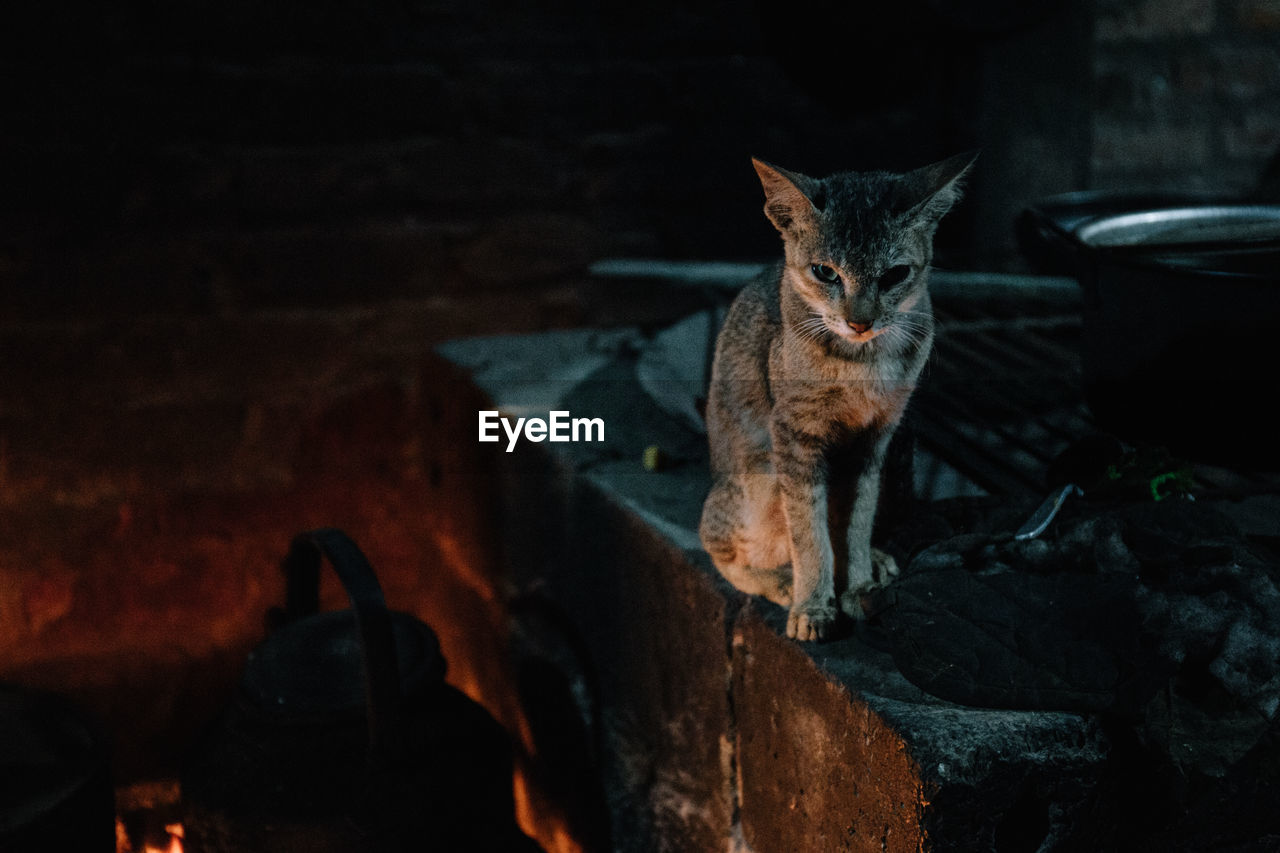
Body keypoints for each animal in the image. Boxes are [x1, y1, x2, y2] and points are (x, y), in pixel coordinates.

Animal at [701, 154, 967, 637]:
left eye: (895, 275)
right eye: (826, 272)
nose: (859, 321)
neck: (863, 364)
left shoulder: (876, 437)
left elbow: (856, 521)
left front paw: (858, 583)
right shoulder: (794, 436)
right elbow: (809, 530)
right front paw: (813, 604)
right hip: (756, 478)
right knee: (718, 544)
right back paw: (780, 580)